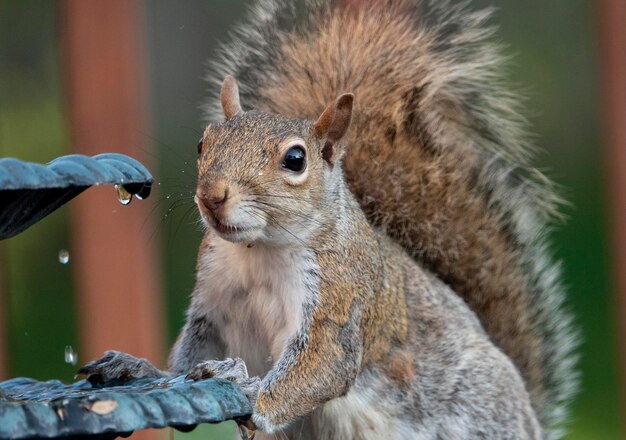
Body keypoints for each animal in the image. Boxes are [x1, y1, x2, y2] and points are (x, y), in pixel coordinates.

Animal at [78, 0, 576, 440]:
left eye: (295, 160)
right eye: (204, 144)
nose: (211, 196)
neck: (260, 252)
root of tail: (531, 415)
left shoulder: (338, 300)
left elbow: (322, 365)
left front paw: (248, 392)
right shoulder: (213, 306)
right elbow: (188, 359)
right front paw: (138, 367)